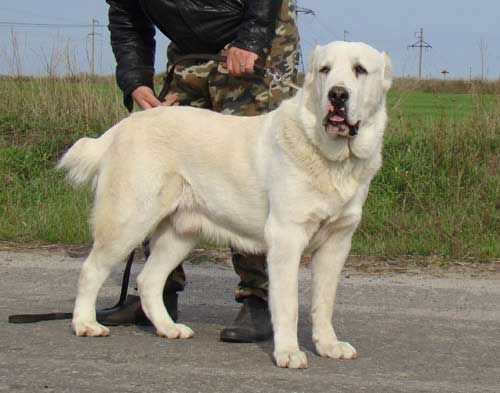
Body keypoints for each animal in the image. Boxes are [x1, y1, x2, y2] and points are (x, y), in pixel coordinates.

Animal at [59, 42, 390, 368]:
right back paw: (86, 324)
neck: (334, 158)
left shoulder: (337, 242)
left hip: (180, 234)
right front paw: (288, 352)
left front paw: (329, 345)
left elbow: (324, 302)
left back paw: (168, 328)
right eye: (325, 70)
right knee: (91, 269)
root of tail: (121, 128)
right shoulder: (287, 236)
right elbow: (288, 304)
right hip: (128, 220)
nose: (337, 94)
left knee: (149, 279)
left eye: (360, 70)